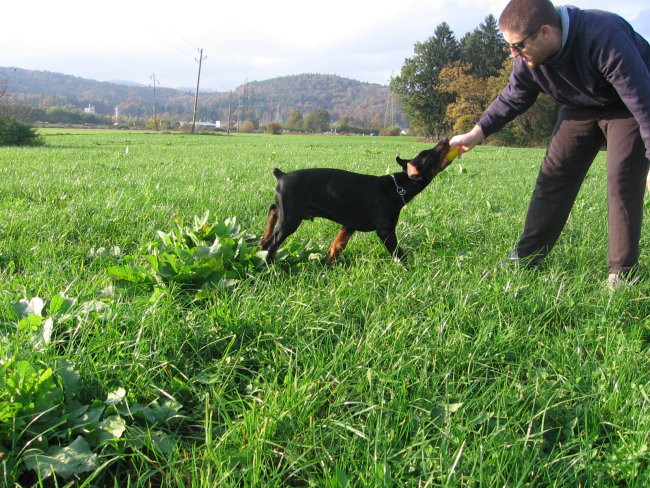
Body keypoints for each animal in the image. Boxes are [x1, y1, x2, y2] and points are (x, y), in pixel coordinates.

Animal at [258, 137, 450, 264]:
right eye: (430, 153)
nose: (445, 139)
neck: (397, 186)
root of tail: (281, 175)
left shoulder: (348, 226)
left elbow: (336, 247)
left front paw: (326, 267)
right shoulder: (385, 230)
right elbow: (399, 253)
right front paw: (409, 269)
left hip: (286, 211)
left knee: (272, 211)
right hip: (290, 219)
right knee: (271, 244)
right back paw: (270, 266)